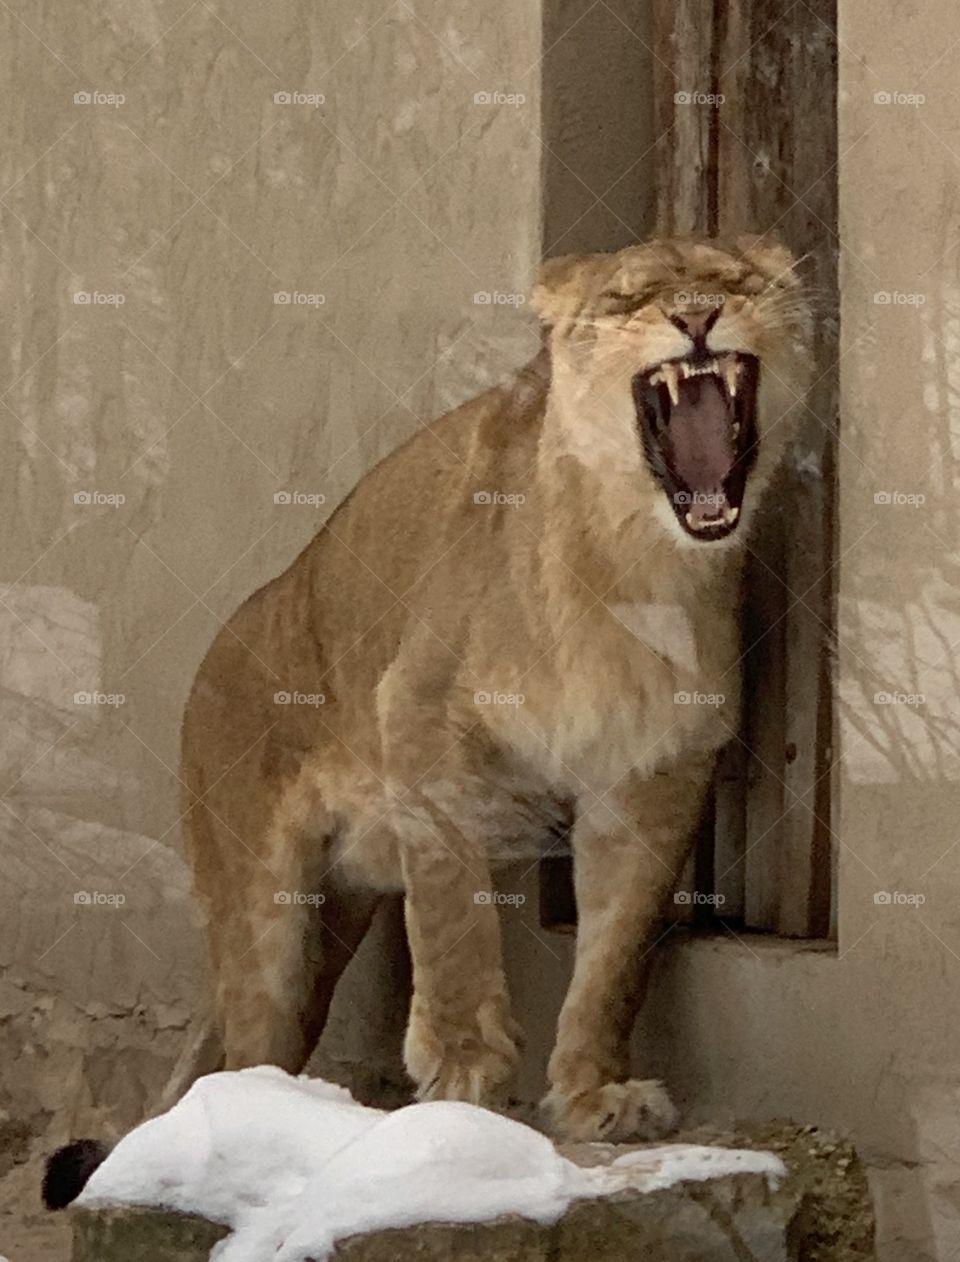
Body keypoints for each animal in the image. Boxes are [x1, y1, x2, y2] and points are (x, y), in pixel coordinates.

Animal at [174, 234, 811, 1144]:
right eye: (629, 298)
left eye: (735, 279)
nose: (697, 316)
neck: (633, 566)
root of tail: (223, 640)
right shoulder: (420, 717)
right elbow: (452, 912)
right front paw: (463, 1067)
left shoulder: (653, 773)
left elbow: (617, 951)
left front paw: (594, 1095)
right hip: (263, 918)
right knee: (246, 1041)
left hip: (336, 914)